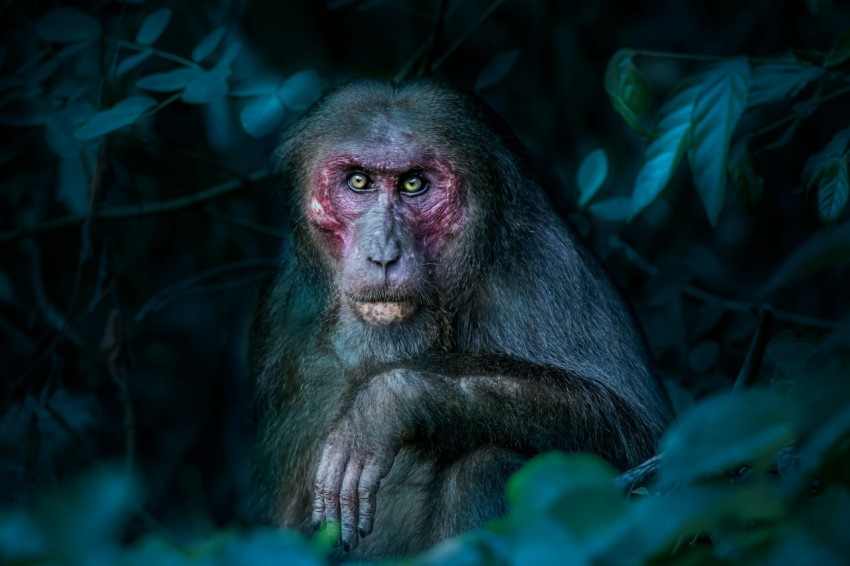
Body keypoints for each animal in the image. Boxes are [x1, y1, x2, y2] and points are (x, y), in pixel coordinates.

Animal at [249, 79, 674, 560]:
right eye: (359, 181)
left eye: (414, 184)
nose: (384, 253)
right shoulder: (281, 311)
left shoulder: (549, 270)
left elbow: (635, 430)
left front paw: (383, 406)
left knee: (486, 462)